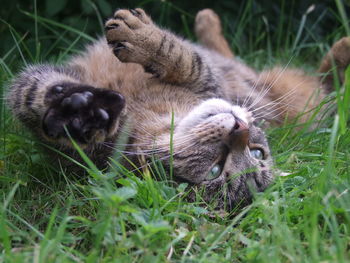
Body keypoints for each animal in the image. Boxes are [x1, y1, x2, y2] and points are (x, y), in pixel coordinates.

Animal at [6, 7, 350, 210]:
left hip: (304, 101)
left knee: (328, 84)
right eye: (258, 152)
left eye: (216, 170)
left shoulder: (206, 80)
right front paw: (81, 111)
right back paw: (206, 19)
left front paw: (143, 39)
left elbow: (184, 57)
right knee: (226, 52)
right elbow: (32, 94)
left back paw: (343, 48)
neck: (152, 112)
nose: (241, 129)